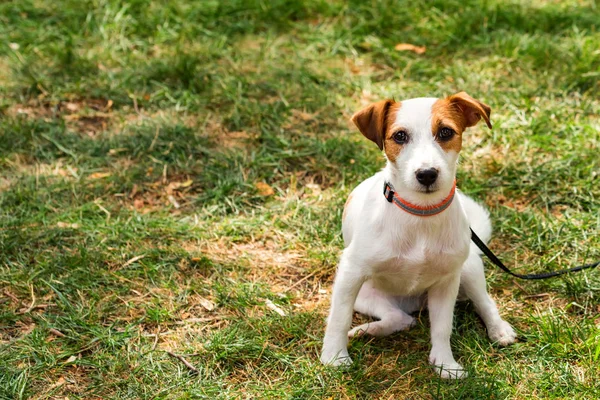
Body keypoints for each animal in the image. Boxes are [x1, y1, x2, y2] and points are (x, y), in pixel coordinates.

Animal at [322, 91, 516, 378]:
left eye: (446, 132)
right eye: (400, 136)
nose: (427, 174)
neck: (421, 215)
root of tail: (411, 303)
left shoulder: (446, 282)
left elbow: (443, 327)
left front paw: (445, 364)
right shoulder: (350, 272)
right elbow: (339, 317)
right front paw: (335, 356)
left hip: (467, 269)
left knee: (484, 301)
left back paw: (499, 329)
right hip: (366, 295)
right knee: (401, 319)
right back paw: (370, 329)